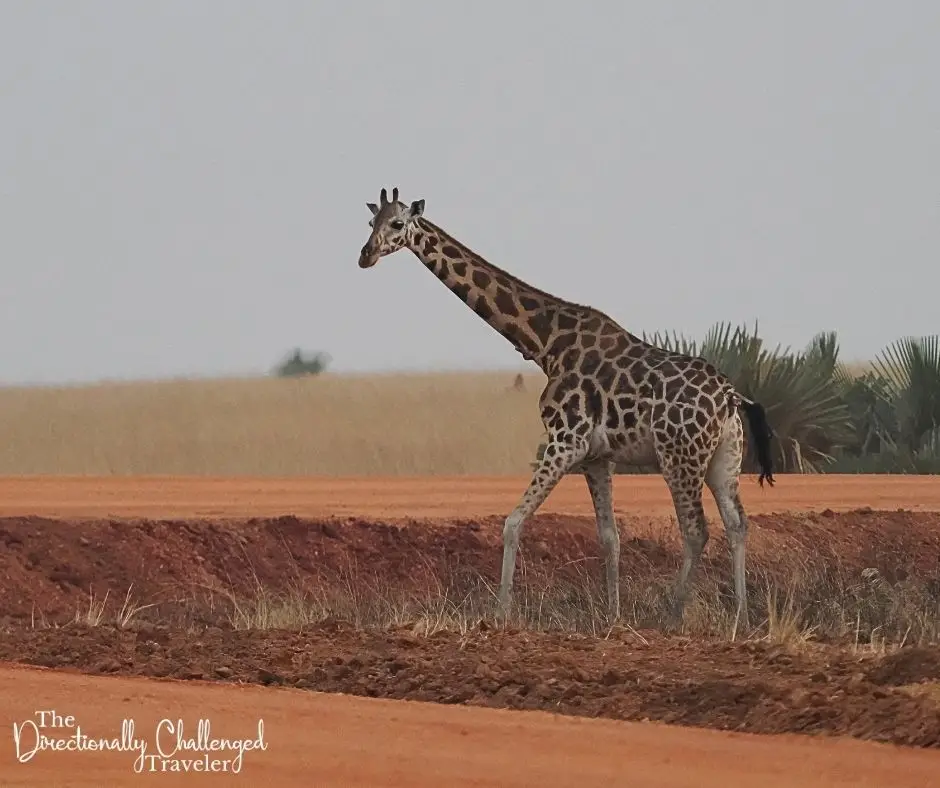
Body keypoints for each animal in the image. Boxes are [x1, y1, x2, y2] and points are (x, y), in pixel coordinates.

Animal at [358, 187, 775, 629]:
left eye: (397, 224)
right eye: (370, 222)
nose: (365, 255)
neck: (545, 344)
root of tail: (730, 397)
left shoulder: (565, 440)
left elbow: (512, 522)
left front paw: (500, 613)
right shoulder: (597, 456)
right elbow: (609, 538)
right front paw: (612, 615)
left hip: (678, 456)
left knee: (696, 530)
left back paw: (671, 614)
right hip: (723, 458)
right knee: (737, 524)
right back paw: (740, 617)